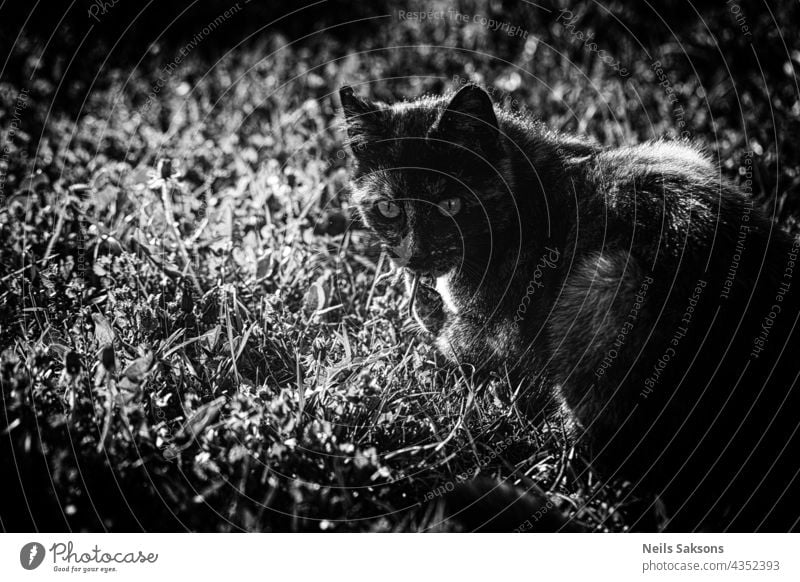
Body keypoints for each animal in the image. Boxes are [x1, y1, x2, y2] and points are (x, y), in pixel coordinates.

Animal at [338, 82, 800, 532]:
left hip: (608, 282)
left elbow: (452, 340)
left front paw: (426, 310)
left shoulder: (488, 338)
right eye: (388, 208)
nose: (414, 256)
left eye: (452, 204)